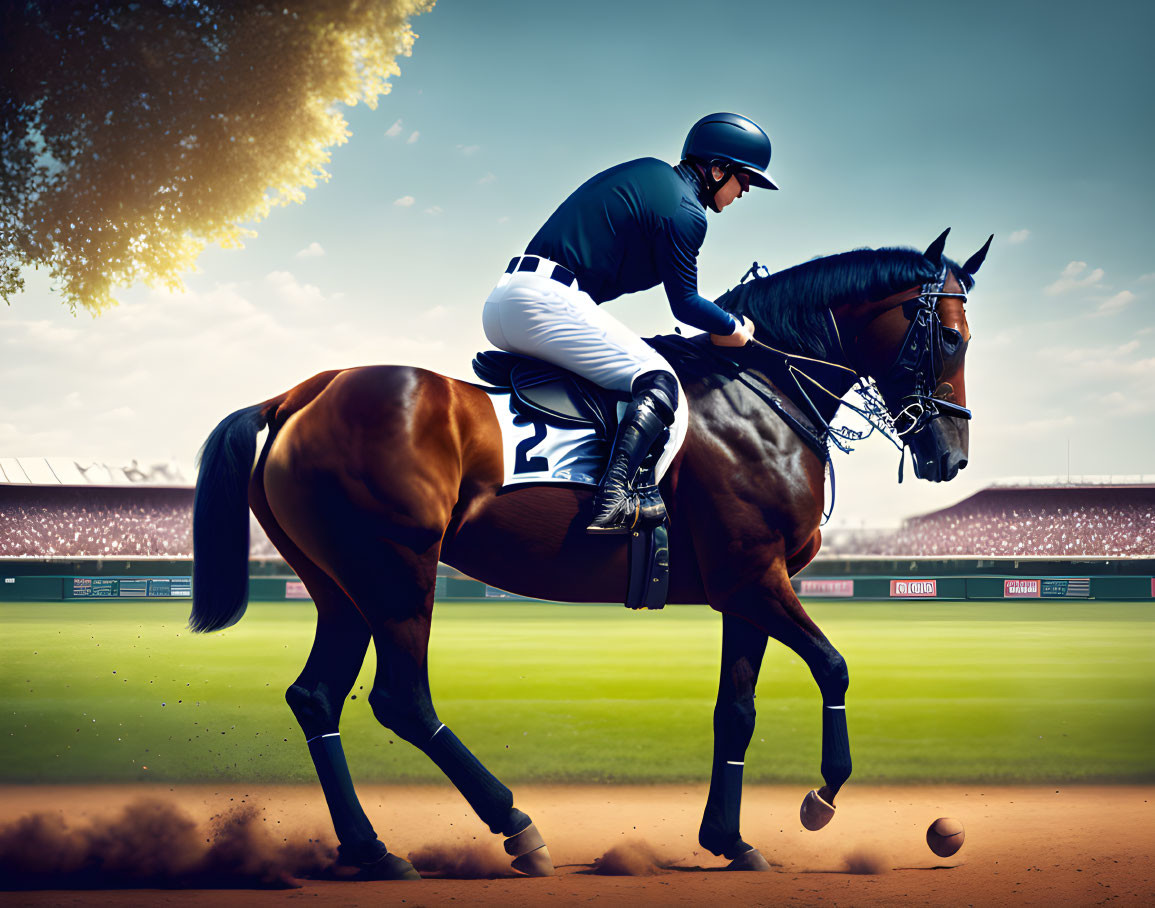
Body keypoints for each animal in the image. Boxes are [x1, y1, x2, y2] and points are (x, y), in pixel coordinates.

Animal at [189, 226, 993, 877]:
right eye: (952, 337)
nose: (949, 456)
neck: (761, 392)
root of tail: (303, 392)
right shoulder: (755, 577)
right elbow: (834, 665)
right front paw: (821, 795)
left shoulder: (746, 591)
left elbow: (735, 710)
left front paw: (729, 841)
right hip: (396, 572)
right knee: (400, 698)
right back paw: (515, 826)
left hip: (340, 586)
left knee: (316, 696)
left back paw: (371, 850)